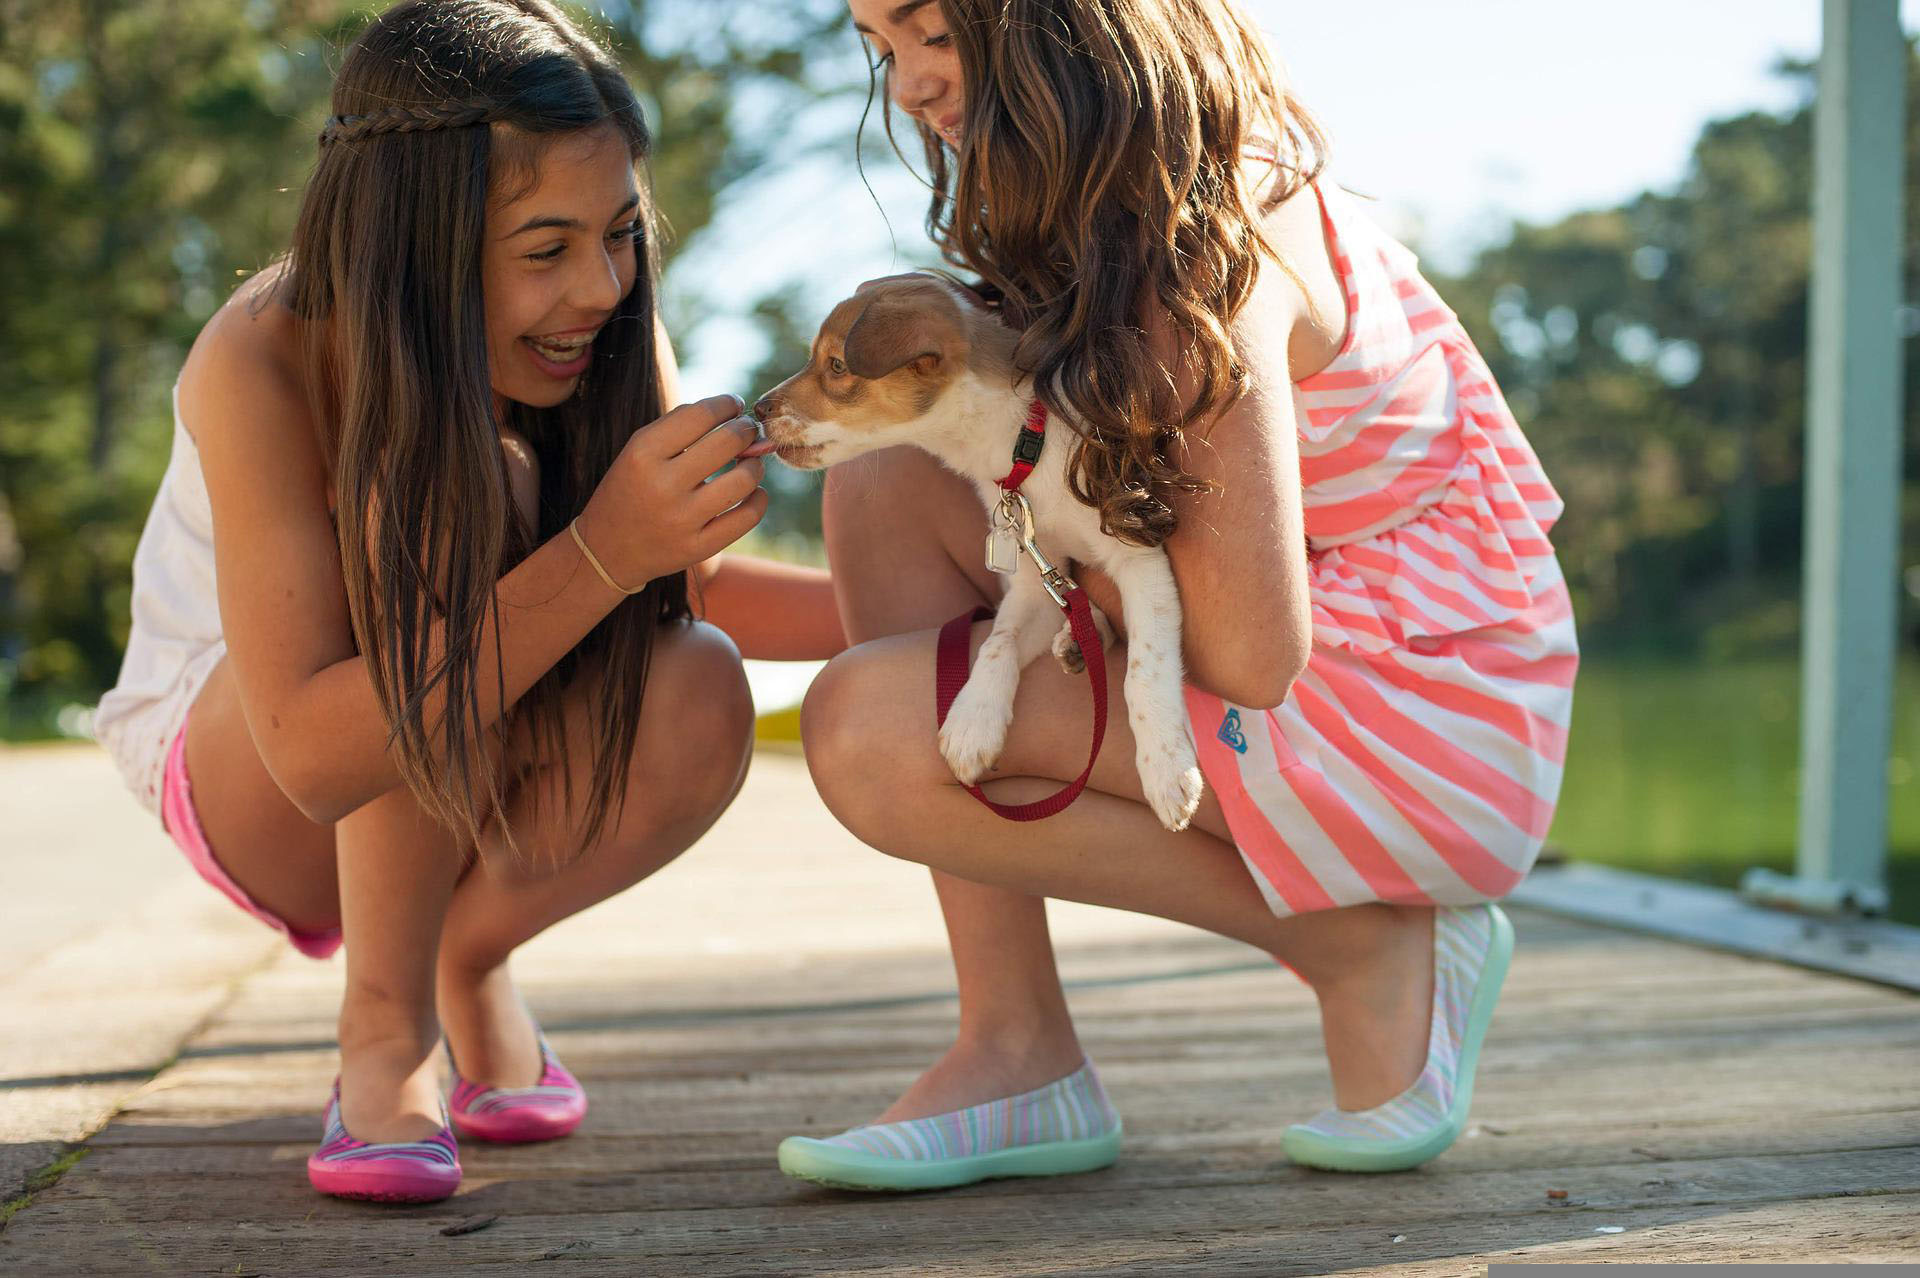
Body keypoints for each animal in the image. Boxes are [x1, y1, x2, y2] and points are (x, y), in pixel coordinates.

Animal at [748, 270, 1198, 825]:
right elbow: (999, 638)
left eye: (835, 365)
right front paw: (972, 720)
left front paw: (1167, 767)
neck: (1022, 447)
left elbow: (1145, 670)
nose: (756, 408)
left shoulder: (1141, 555)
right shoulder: (1033, 571)